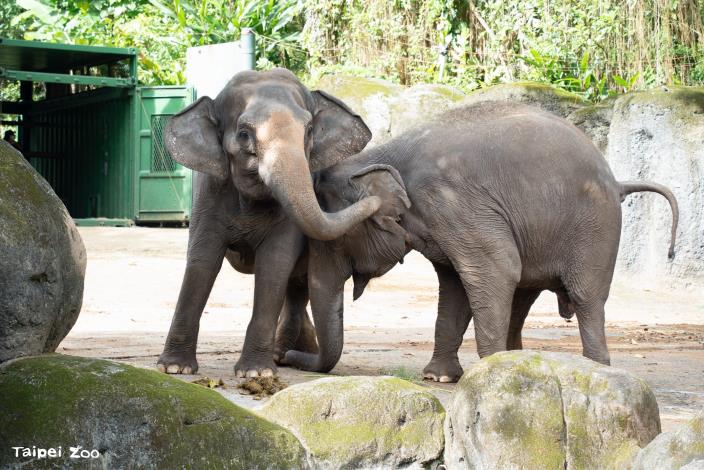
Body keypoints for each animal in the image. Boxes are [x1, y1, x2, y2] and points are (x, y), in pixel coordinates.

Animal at [157, 68, 381, 377]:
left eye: (309, 131)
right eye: (243, 134)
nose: (376, 198)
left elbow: (275, 262)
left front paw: (255, 373)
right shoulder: (209, 191)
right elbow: (203, 258)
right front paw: (174, 368)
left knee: (296, 285)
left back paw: (283, 354)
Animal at [282, 101, 679, 382]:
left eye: (335, 240)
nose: (287, 357)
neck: (379, 155)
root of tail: (617, 181)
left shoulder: (454, 203)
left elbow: (494, 272)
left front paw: (487, 376)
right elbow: (455, 286)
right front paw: (439, 378)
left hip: (595, 227)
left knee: (586, 297)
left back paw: (595, 370)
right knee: (522, 295)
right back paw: (521, 361)